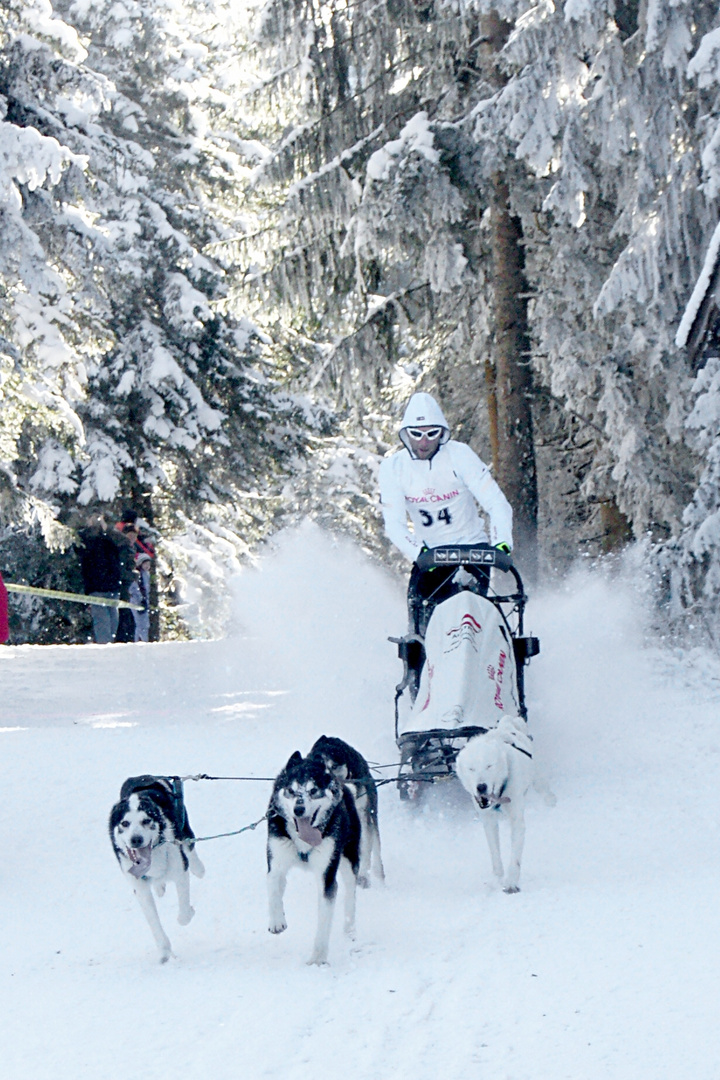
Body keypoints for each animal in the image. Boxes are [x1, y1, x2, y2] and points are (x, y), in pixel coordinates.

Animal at [110, 777, 205, 963]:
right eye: (125, 823)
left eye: (146, 821)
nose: (136, 839)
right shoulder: (139, 888)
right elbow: (154, 922)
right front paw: (164, 951)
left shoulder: (180, 871)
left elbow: (183, 914)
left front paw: (188, 912)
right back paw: (160, 887)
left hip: (184, 830)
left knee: (190, 848)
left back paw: (199, 868)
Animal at [267, 747, 362, 967]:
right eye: (291, 790)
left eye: (313, 791)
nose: (299, 809)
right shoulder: (276, 860)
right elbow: (273, 887)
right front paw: (277, 921)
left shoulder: (326, 877)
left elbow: (324, 921)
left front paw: (318, 958)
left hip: (348, 859)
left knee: (350, 892)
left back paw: (350, 927)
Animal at [310, 734, 386, 894]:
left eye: (333, 766)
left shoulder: (363, 816)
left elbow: (366, 847)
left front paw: (363, 876)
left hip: (371, 815)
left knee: (375, 848)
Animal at [455, 717, 535, 894]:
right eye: (471, 769)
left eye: (489, 766)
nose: (481, 786)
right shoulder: (489, 821)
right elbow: (495, 855)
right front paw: (497, 879)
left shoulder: (516, 821)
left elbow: (515, 857)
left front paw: (511, 882)